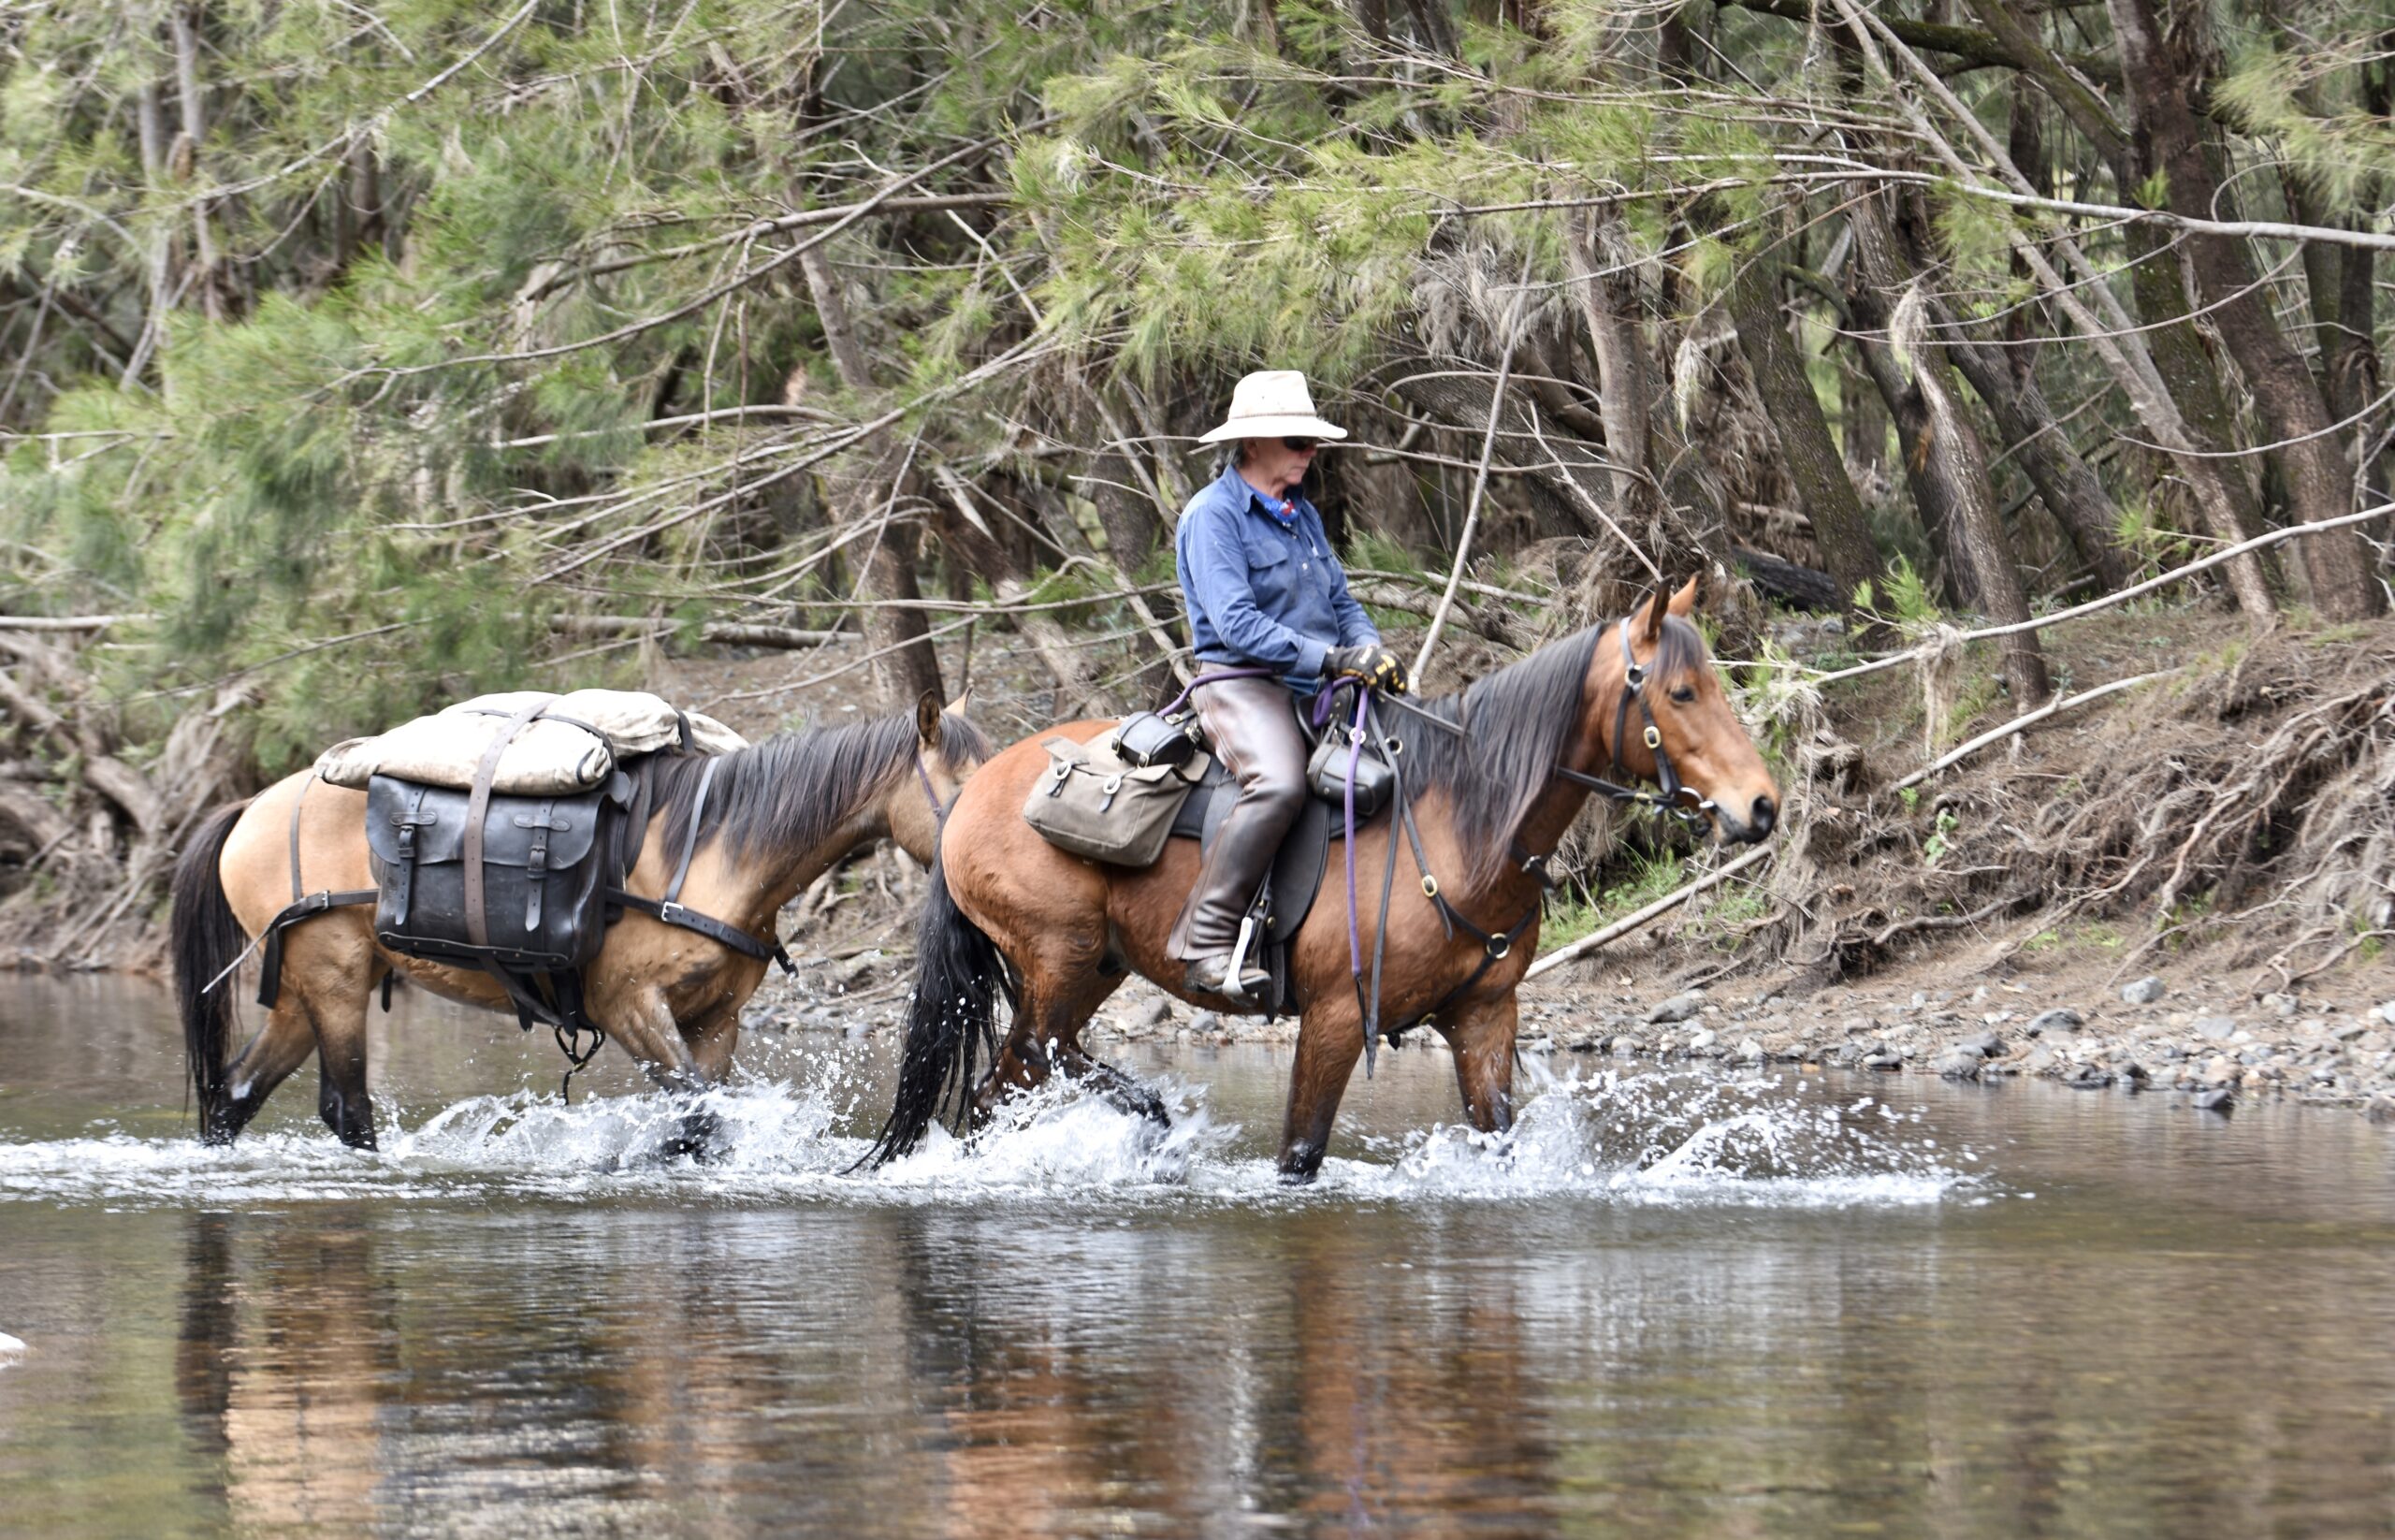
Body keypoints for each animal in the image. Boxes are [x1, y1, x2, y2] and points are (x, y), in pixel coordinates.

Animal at [173, 694, 986, 1149]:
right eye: (965, 784)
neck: (712, 848)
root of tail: (252, 805)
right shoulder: (629, 1007)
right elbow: (698, 1117)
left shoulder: (715, 1021)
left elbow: (701, 1121)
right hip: (333, 977)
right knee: (345, 1106)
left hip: (307, 989)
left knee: (235, 1095)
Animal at [876, 579, 1781, 1183]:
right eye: (1679, 691)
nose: (1762, 806)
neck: (1458, 825)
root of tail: (972, 795)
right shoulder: (1339, 1018)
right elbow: (1301, 1153)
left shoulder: (1486, 1018)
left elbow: (1495, 1137)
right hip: (1058, 955)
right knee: (1038, 1053)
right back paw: (1155, 1127)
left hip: (1093, 966)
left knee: (1008, 1079)